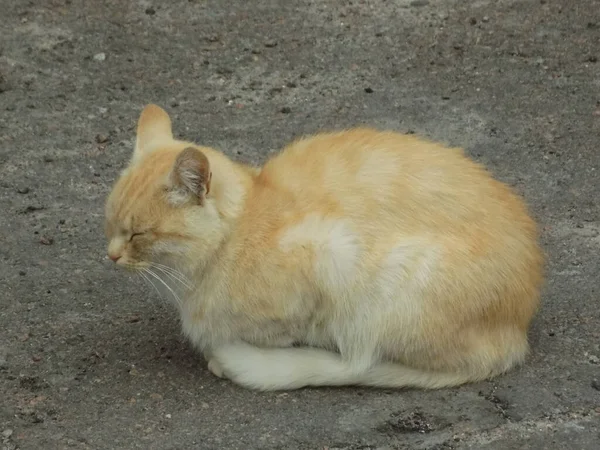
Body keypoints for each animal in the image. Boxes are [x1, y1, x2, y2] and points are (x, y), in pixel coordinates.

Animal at [103, 104, 544, 390]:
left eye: (138, 234)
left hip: (373, 288)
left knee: (358, 364)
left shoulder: (323, 250)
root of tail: (517, 333)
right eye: (110, 224)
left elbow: (290, 331)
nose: (111, 255)